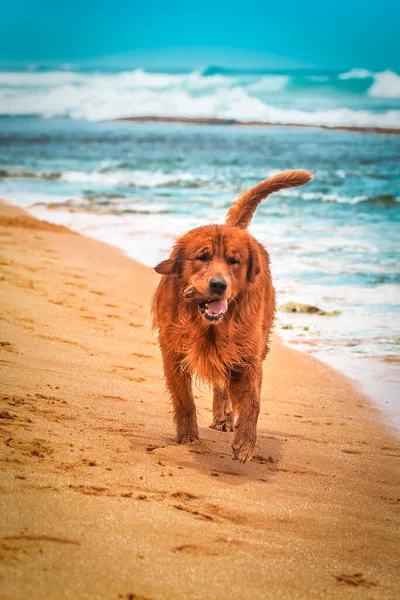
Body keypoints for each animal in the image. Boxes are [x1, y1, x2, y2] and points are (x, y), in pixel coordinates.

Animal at [152, 169, 310, 464]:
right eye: (202, 257)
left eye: (233, 261)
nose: (218, 285)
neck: (208, 325)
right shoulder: (173, 351)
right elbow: (183, 398)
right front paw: (188, 434)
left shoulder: (247, 356)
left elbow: (252, 402)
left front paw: (245, 442)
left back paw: (225, 416)